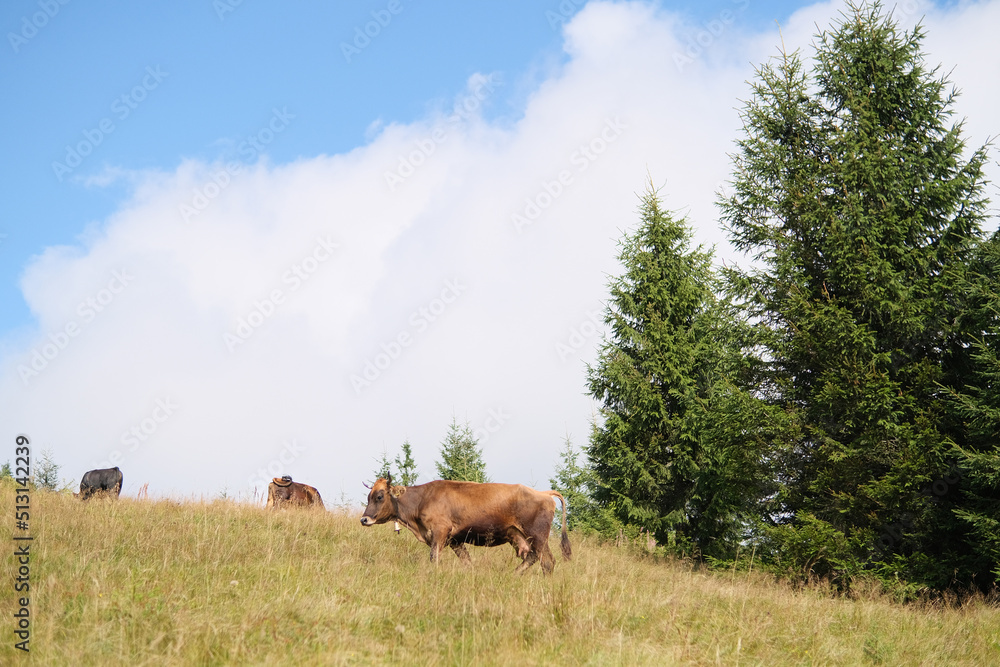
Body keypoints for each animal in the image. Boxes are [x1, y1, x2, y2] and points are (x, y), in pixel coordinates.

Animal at [360, 474, 572, 576]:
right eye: (368, 496)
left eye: (380, 496)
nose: (364, 519)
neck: (421, 499)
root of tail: (544, 493)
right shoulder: (455, 540)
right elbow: (467, 562)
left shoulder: (440, 532)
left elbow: (434, 558)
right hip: (520, 536)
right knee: (532, 558)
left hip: (537, 536)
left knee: (547, 562)